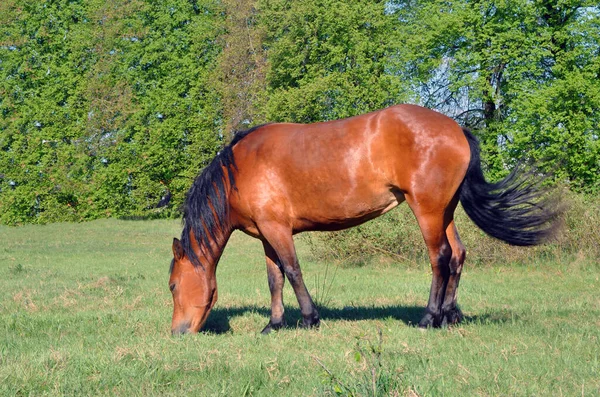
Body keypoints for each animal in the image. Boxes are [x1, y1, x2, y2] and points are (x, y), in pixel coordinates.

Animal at [168, 104, 556, 334]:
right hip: (445, 211)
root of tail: (456, 128)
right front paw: (274, 324)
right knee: (458, 255)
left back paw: (429, 318)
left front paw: (309, 319)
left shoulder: (278, 230)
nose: (178, 332)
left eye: (172, 286)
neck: (242, 167)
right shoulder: (266, 232)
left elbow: (292, 272)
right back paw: (449, 315)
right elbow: (274, 279)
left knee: (440, 258)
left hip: (427, 211)